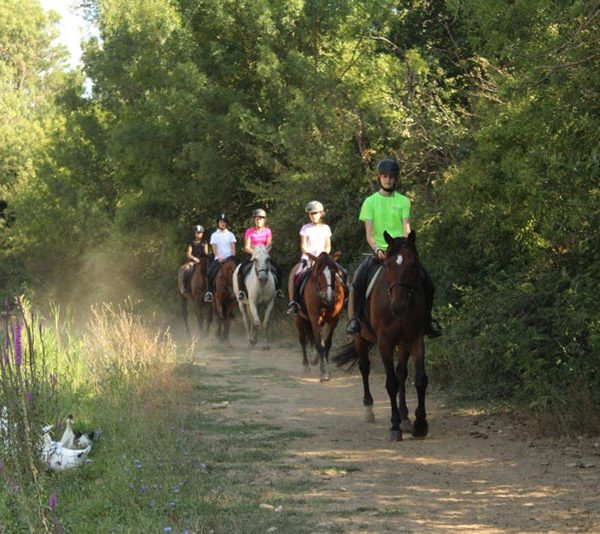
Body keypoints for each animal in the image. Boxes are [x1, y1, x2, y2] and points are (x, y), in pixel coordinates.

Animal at [292, 252, 346, 384]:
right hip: (298, 318)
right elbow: (320, 345)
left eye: (333, 271)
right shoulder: (315, 318)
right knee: (303, 340)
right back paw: (306, 366)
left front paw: (327, 369)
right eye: (320, 272)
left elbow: (327, 343)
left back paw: (315, 358)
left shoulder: (334, 320)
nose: (329, 296)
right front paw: (324, 373)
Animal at [332, 232, 426, 442]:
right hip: (360, 336)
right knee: (364, 367)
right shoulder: (385, 342)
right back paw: (369, 409)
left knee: (402, 373)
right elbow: (391, 383)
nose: (398, 305)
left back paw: (405, 417)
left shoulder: (414, 338)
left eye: (413, 264)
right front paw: (394, 426)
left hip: (402, 343)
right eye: (388, 264)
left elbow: (419, 379)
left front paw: (420, 424)